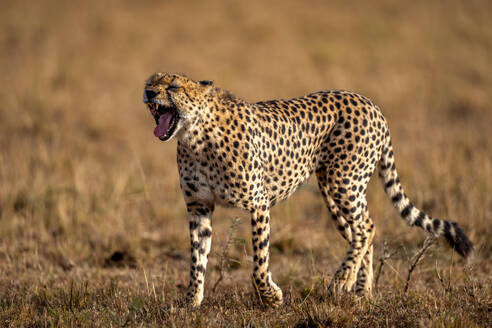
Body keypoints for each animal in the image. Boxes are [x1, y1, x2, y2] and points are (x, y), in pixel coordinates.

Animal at [141, 72, 472, 308]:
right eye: (150, 82)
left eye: (173, 86)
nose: (148, 93)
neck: (195, 136)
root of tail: (367, 101)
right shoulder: (199, 206)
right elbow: (197, 259)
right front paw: (190, 302)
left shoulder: (259, 204)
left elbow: (259, 265)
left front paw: (271, 297)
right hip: (332, 191)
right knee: (361, 231)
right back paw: (362, 291)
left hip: (345, 182)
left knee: (366, 226)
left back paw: (341, 281)